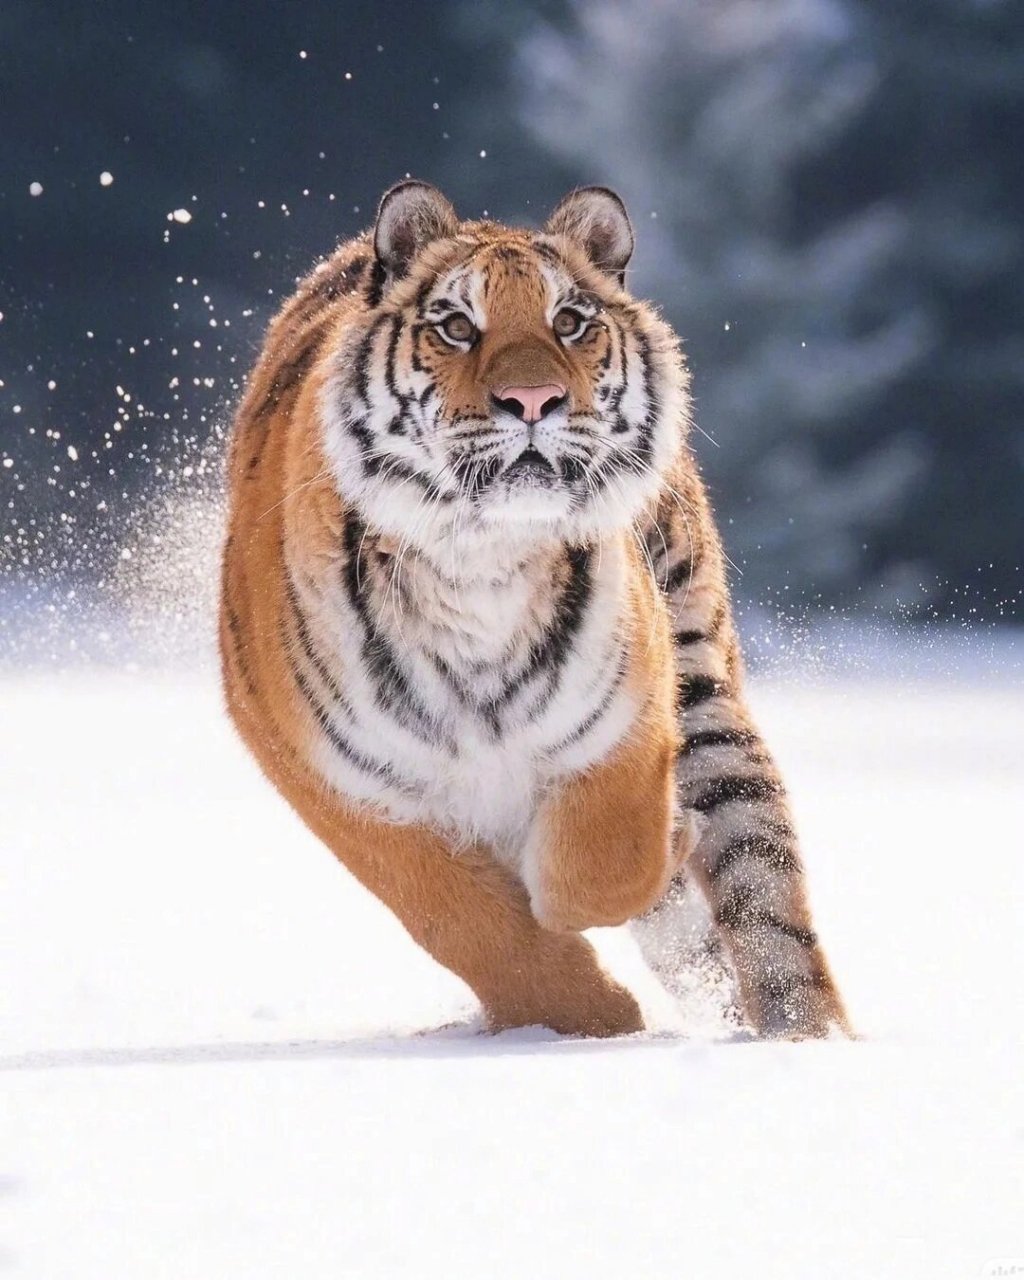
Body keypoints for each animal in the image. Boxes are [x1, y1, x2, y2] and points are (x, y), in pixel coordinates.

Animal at [219, 180, 851, 1040]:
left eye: (571, 322)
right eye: (457, 325)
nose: (533, 400)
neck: (481, 559)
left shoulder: (627, 713)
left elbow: (602, 867)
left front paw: (662, 846)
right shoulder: (333, 775)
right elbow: (464, 920)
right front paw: (592, 1015)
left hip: (706, 686)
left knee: (767, 901)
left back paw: (809, 1039)